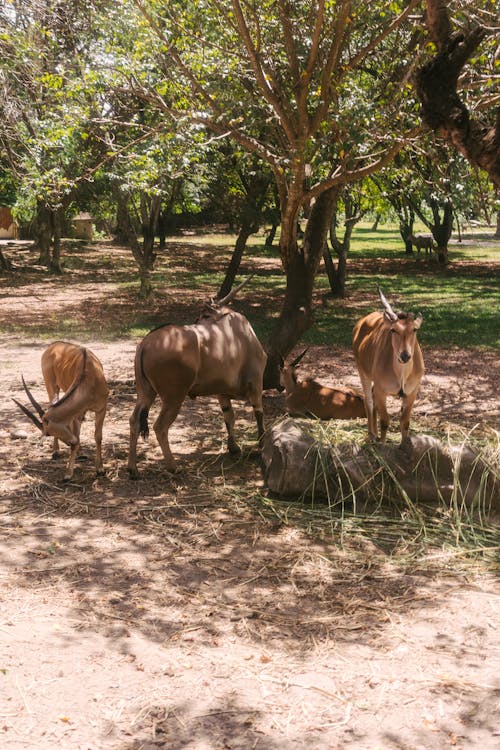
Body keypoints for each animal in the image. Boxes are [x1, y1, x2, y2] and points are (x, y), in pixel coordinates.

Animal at [13, 342, 109, 482]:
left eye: (47, 433)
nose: (70, 442)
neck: (89, 378)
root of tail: (53, 346)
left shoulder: (101, 408)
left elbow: (98, 436)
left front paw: (100, 469)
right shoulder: (76, 415)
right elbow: (78, 434)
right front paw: (68, 473)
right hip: (51, 385)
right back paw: (56, 451)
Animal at [128, 276, 266, 476]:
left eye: (206, 315)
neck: (240, 333)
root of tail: (146, 343)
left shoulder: (222, 393)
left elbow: (229, 417)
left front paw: (234, 448)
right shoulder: (255, 383)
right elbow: (259, 413)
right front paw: (261, 445)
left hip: (146, 393)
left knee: (134, 421)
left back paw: (133, 469)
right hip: (173, 397)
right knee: (160, 427)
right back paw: (173, 466)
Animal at [352, 286, 426, 440]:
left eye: (414, 329)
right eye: (393, 330)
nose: (405, 355)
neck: (402, 373)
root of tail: (360, 323)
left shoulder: (412, 392)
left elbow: (405, 422)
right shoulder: (382, 391)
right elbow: (385, 421)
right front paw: (382, 442)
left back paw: (374, 434)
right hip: (362, 372)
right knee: (368, 401)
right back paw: (371, 434)